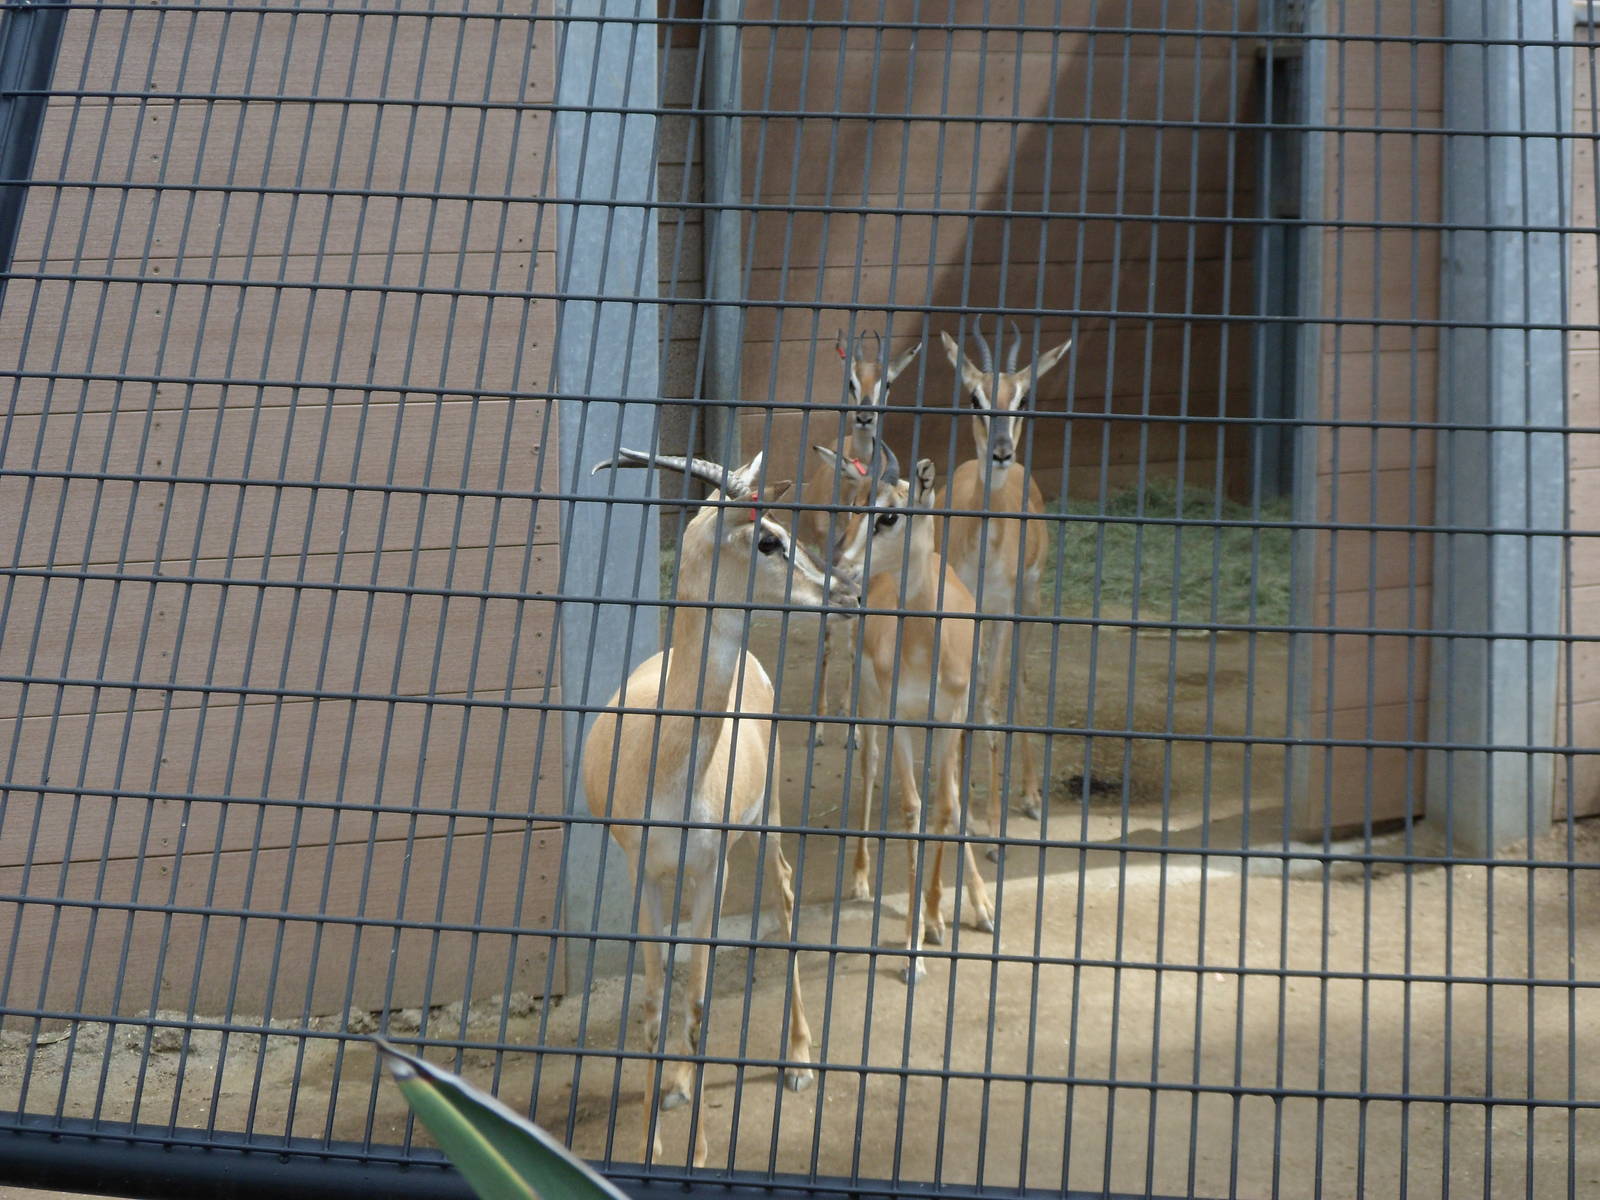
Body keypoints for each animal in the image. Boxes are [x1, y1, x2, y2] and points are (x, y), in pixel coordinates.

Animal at [582, 448, 859, 1166]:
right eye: (768, 540)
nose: (846, 593)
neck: (668, 761)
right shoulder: (643, 870)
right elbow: (655, 1001)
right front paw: (651, 1138)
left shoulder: (713, 867)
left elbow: (701, 1003)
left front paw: (699, 1154)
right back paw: (680, 1084)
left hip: (765, 826)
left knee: (784, 896)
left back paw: (798, 1061)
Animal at [795, 329, 921, 739]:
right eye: (850, 381)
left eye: (888, 382)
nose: (865, 416)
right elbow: (827, 639)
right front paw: (818, 726)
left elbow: (854, 642)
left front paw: (850, 725)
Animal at [814, 443, 996, 982]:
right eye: (856, 505)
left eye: (889, 515)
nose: (840, 566)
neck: (923, 645)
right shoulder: (898, 717)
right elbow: (913, 809)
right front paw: (915, 946)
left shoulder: (951, 717)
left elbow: (946, 806)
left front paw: (939, 917)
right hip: (872, 708)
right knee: (870, 766)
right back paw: (860, 879)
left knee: (952, 794)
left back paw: (976, 906)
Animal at [938, 321, 1072, 842]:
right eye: (975, 397)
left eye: (1022, 398)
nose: (1001, 452)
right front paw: (964, 811)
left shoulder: (1001, 612)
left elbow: (993, 702)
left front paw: (992, 823)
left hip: (1028, 606)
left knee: (1018, 678)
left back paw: (1030, 796)